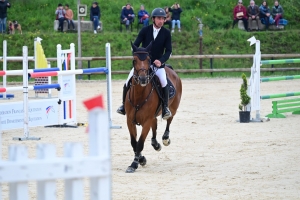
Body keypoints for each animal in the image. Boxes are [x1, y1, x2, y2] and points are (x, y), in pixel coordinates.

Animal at [123, 41, 182, 173]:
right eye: (134, 60)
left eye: (149, 59)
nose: (143, 79)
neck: (139, 96)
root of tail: (169, 69)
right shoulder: (130, 121)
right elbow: (134, 143)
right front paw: (140, 159)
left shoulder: (146, 121)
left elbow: (140, 143)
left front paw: (134, 164)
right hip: (153, 116)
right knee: (154, 127)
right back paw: (155, 144)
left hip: (173, 108)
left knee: (169, 120)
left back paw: (165, 139)